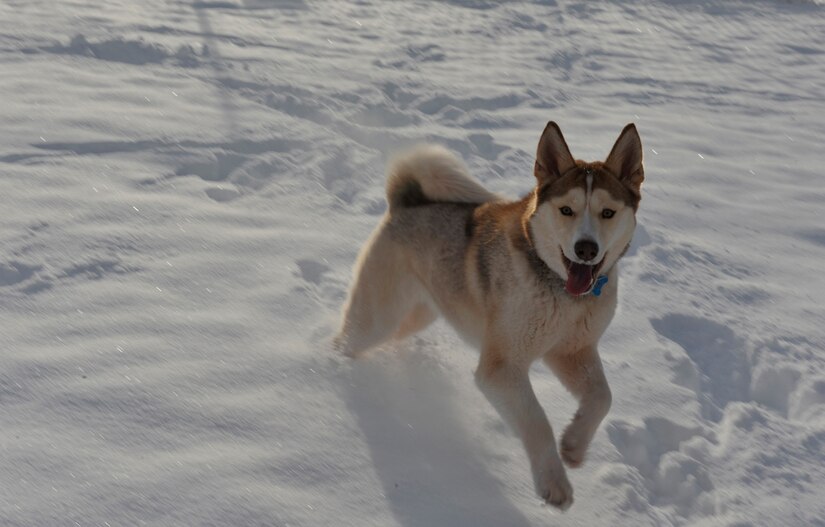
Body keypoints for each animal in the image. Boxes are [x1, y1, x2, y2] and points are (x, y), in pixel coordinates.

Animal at [334, 121, 644, 510]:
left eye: (607, 213)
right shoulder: (501, 369)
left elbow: (603, 398)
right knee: (345, 340)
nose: (585, 248)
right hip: (377, 319)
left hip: (419, 314)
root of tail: (405, 202)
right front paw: (553, 483)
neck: (562, 290)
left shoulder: (571, 351)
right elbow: (537, 422)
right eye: (566, 210)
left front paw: (574, 444)